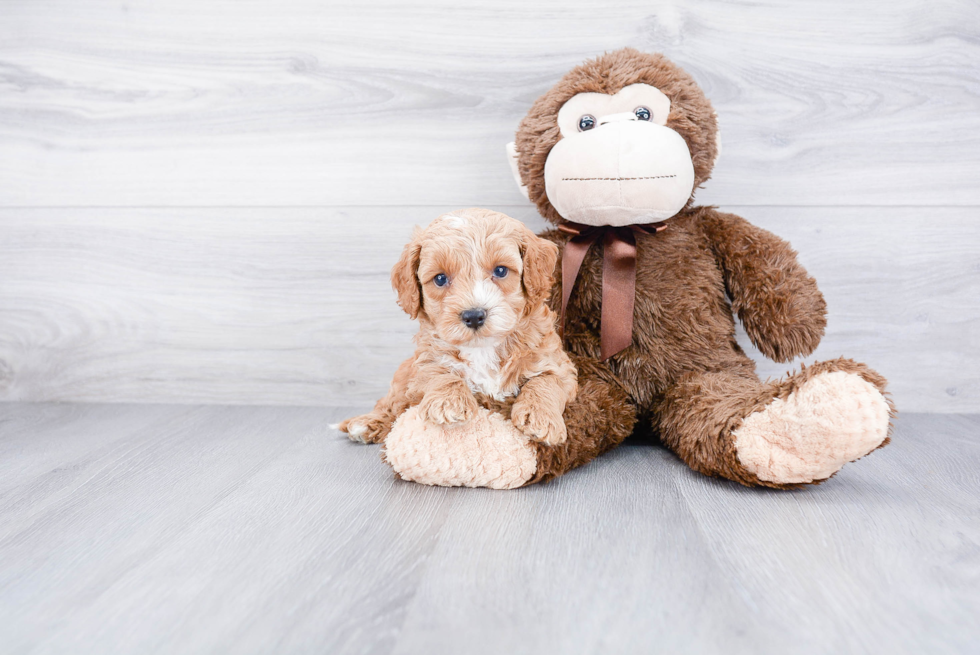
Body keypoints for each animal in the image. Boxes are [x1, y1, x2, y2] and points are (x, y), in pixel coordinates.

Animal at [340, 208, 580, 448]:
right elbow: (439, 373)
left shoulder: (555, 362)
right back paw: (367, 422)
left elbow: (545, 382)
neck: (483, 349)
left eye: (501, 271)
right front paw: (449, 403)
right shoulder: (425, 362)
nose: (473, 316)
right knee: (391, 402)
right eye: (440, 278)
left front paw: (540, 417)